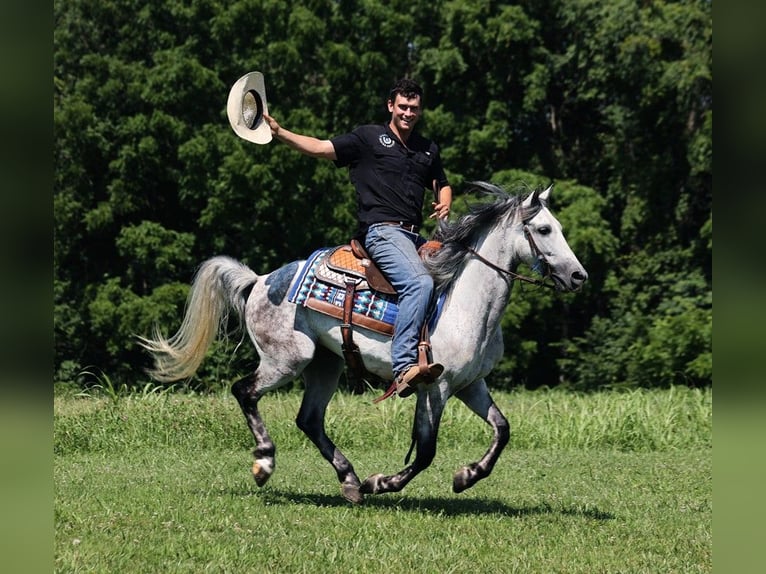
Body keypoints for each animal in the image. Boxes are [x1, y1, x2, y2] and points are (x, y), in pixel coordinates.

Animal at [142, 183, 588, 504]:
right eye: (544, 229)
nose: (579, 276)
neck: (463, 302)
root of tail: (259, 281)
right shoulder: (435, 387)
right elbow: (425, 451)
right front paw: (383, 482)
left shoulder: (469, 384)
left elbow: (502, 429)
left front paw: (466, 476)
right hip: (289, 359)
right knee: (245, 392)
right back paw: (267, 462)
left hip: (327, 364)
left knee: (309, 419)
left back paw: (349, 480)